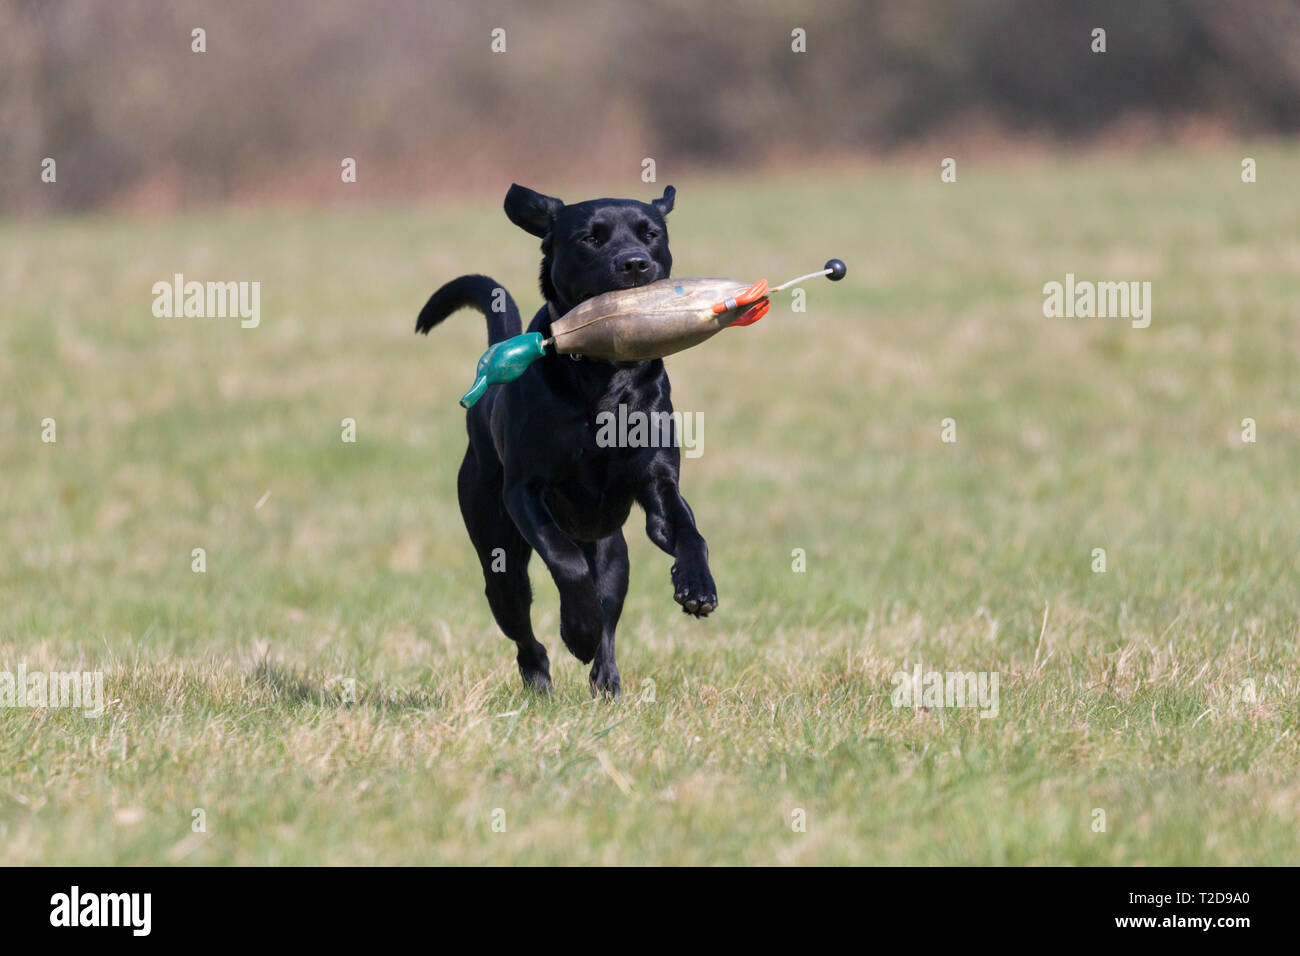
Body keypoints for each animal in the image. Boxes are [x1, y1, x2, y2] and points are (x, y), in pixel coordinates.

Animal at [416, 184, 717, 697]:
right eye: (590, 238)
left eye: (651, 234)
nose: (635, 264)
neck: (603, 376)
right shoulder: (525, 492)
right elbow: (565, 562)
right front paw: (576, 628)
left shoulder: (658, 485)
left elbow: (688, 533)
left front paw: (697, 587)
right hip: (499, 561)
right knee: (525, 633)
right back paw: (542, 679)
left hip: (614, 555)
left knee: (609, 616)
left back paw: (606, 679)